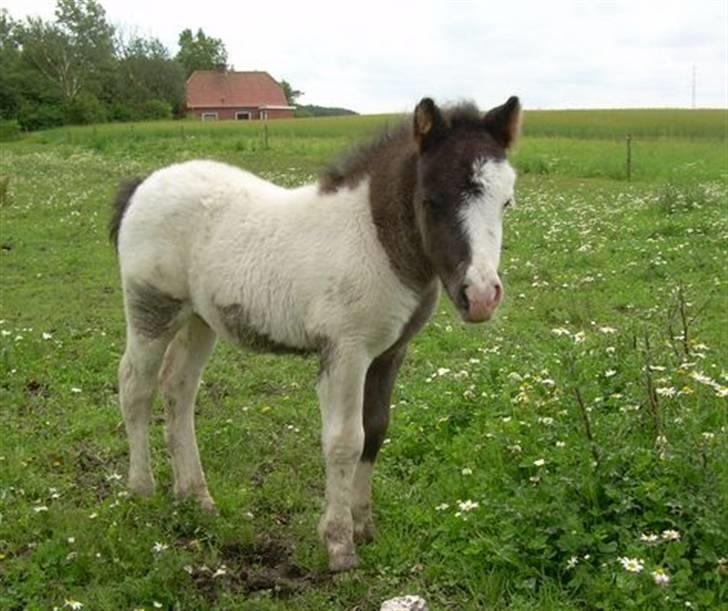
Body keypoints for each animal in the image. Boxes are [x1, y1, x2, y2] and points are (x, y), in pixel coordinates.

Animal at [112, 94, 524, 568]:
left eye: (506, 202)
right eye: (431, 199)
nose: (481, 296)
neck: (374, 238)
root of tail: (143, 185)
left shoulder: (389, 353)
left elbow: (375, 430)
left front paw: (365, 526)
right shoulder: (345, 352)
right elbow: (345, 440)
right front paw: (340, 544)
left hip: (199, 320)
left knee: (179, 390)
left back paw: (196, 497)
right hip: (151, 310)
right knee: (136, 387)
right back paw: (142, 489)